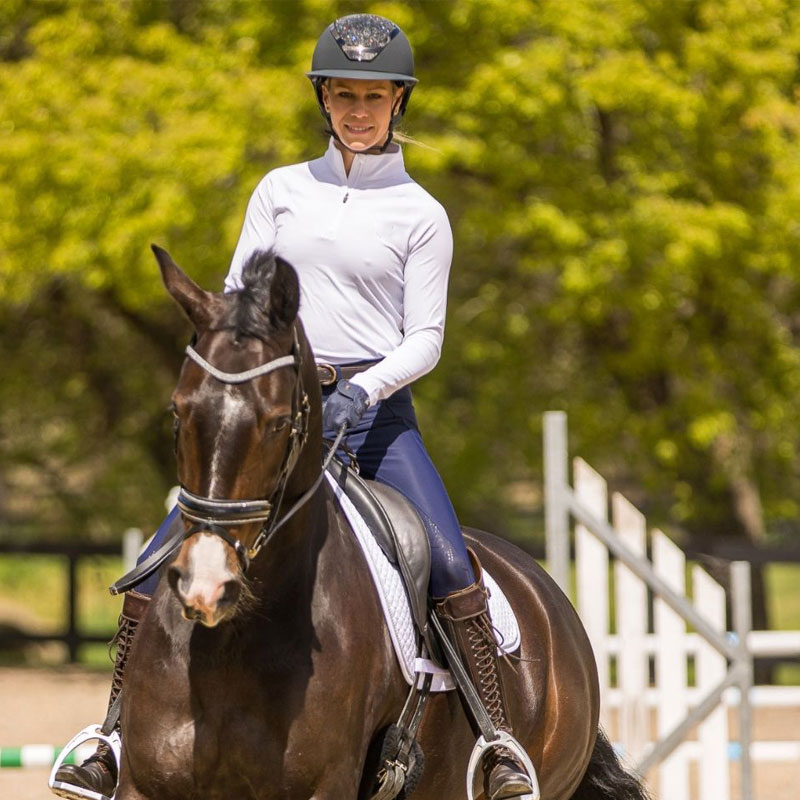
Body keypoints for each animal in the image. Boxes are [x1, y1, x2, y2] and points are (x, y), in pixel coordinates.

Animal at [115, 244, 648, 800]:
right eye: (178, 412)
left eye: (279, 423)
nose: (207, 584)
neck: (235, 641)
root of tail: (545, 591)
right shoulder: (143, 784)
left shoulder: (324, 785)